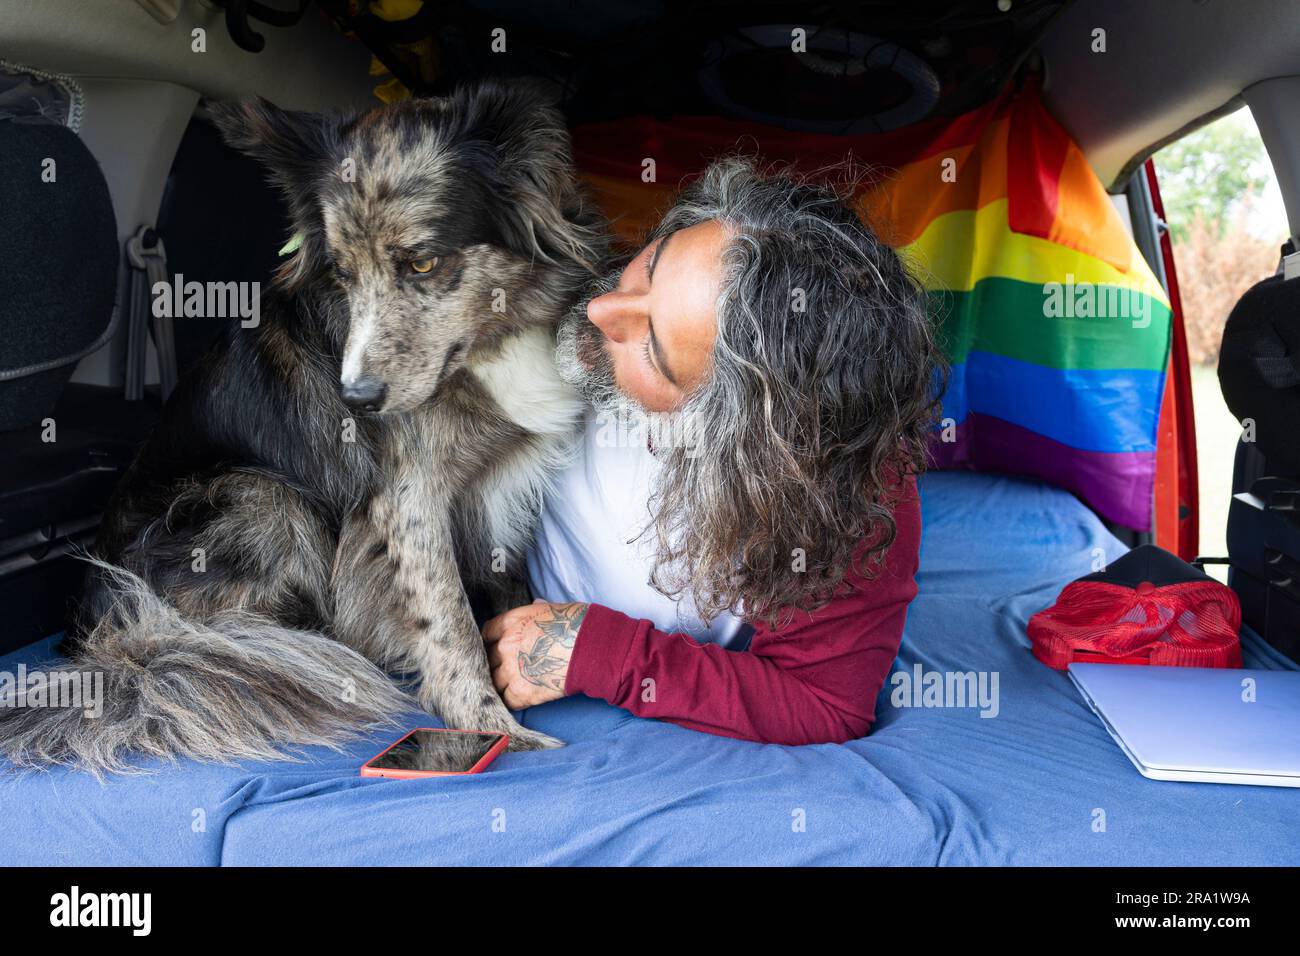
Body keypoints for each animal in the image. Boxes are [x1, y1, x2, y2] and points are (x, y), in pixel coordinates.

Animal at [0, 78, 605, 775]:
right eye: (343, 274)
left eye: (423, 264)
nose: (357, 401)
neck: (488, 340)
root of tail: (109, 637)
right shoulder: (408, 497)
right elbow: (447, 617)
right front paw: (492, 724)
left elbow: (509, 587)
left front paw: (520, 667)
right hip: (263, 497)